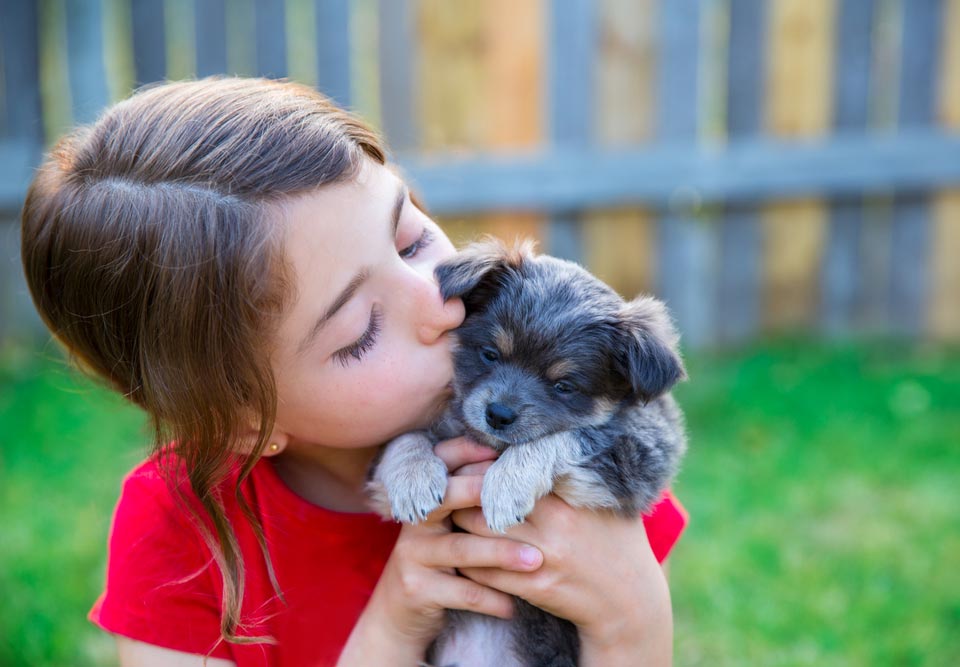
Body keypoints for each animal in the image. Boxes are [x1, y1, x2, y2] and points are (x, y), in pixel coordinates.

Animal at [364, 240, 688, 667]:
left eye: (563, 386)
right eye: (489, 354)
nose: (498, 414)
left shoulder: (642, 453)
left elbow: (562, 436)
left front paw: (506, 486)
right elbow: (405, 438)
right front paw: (414, 480)